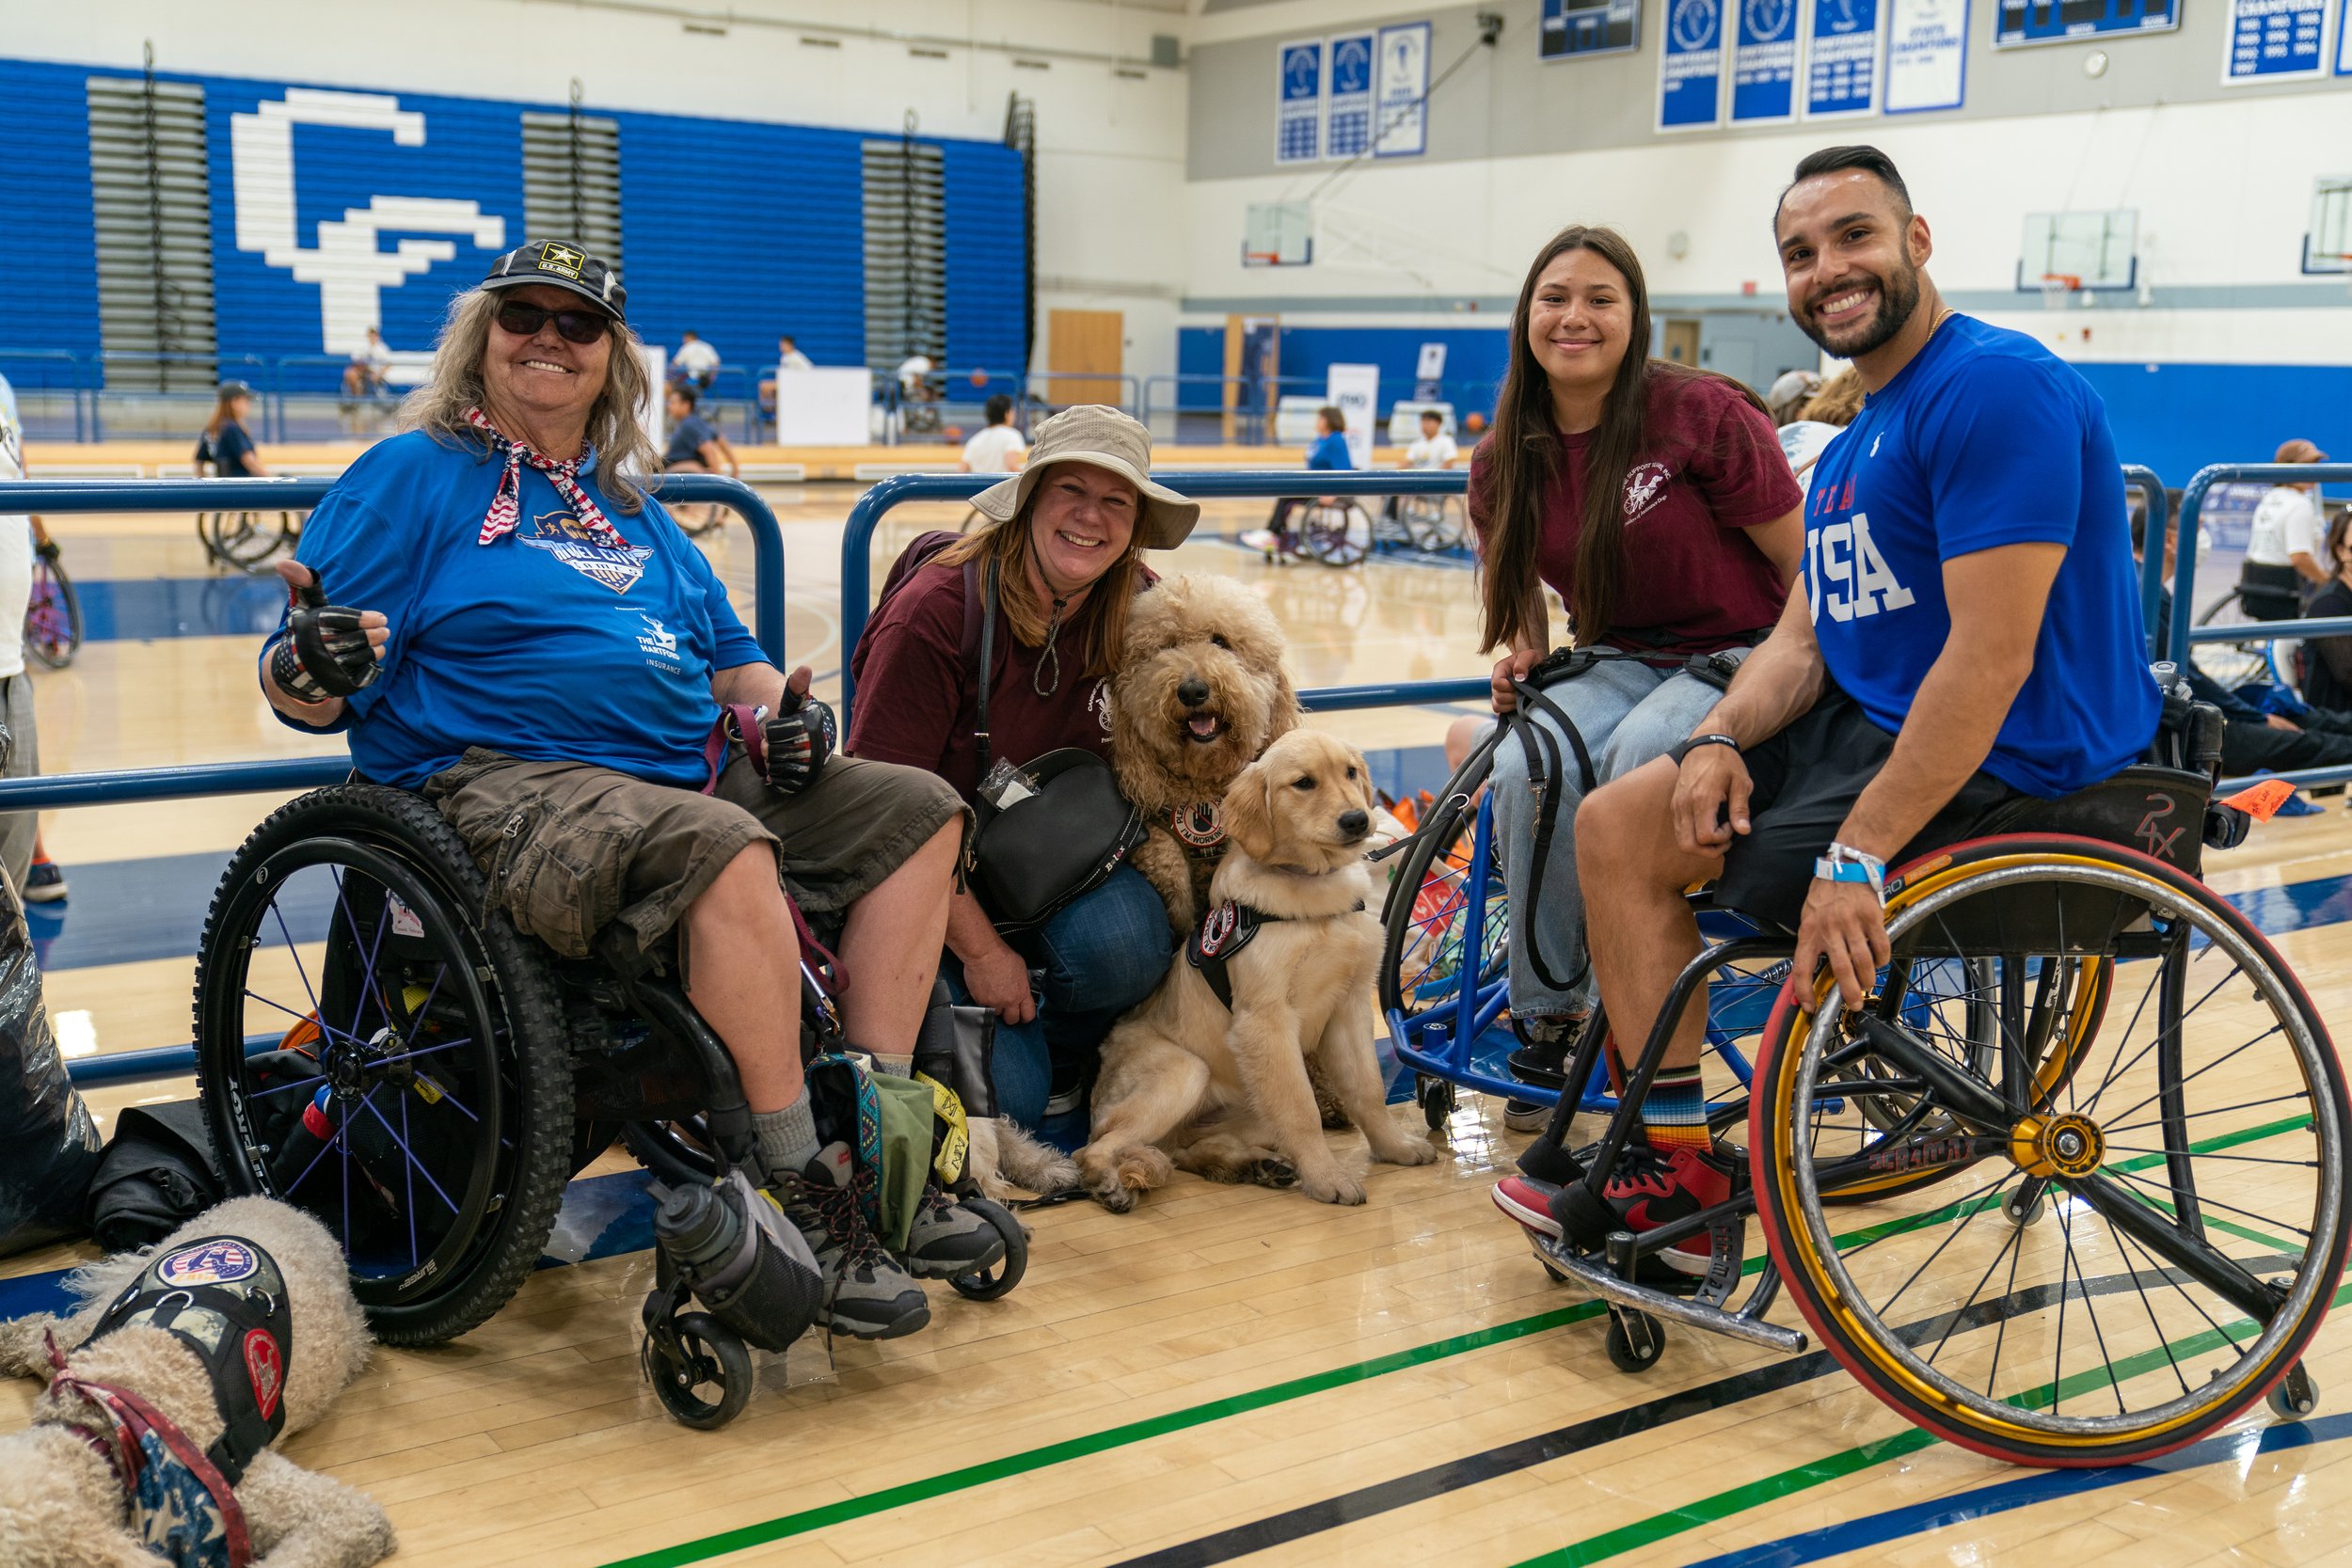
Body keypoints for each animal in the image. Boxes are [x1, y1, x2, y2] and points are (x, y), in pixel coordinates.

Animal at [1077, 728, 1439, 1212]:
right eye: (1303, 783)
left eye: (1350, 772)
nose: (1357, 820)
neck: (1311, 884)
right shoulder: (1266, 1022)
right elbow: (1303, 1111)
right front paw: (1327, 1177)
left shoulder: (1349, 1007)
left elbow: (1367, 1091)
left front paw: (1393, 1146)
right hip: (1187, 1071)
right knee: (1094, 1147)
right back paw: (1109, 1183)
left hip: (1247, 1102)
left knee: (1188, 1150)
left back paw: (1254, 1166)